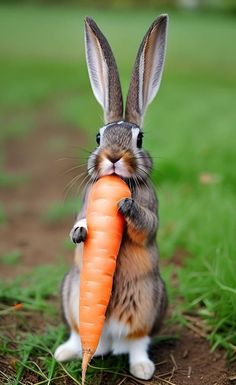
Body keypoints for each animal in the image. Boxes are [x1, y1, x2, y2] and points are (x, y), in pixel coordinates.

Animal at [54, 14, 168, 378]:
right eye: (98, 136)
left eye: (139, 139)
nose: (114, 157)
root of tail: (107, 340)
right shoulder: (86, 204)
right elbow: (79, 222)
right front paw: (80, 232)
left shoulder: (152, 212)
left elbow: (147, 225)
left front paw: (125, 205)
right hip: (72, 293)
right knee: (81, 334)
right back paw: (66, 353)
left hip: (150, 301)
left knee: (138, 341)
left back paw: (143, 368)